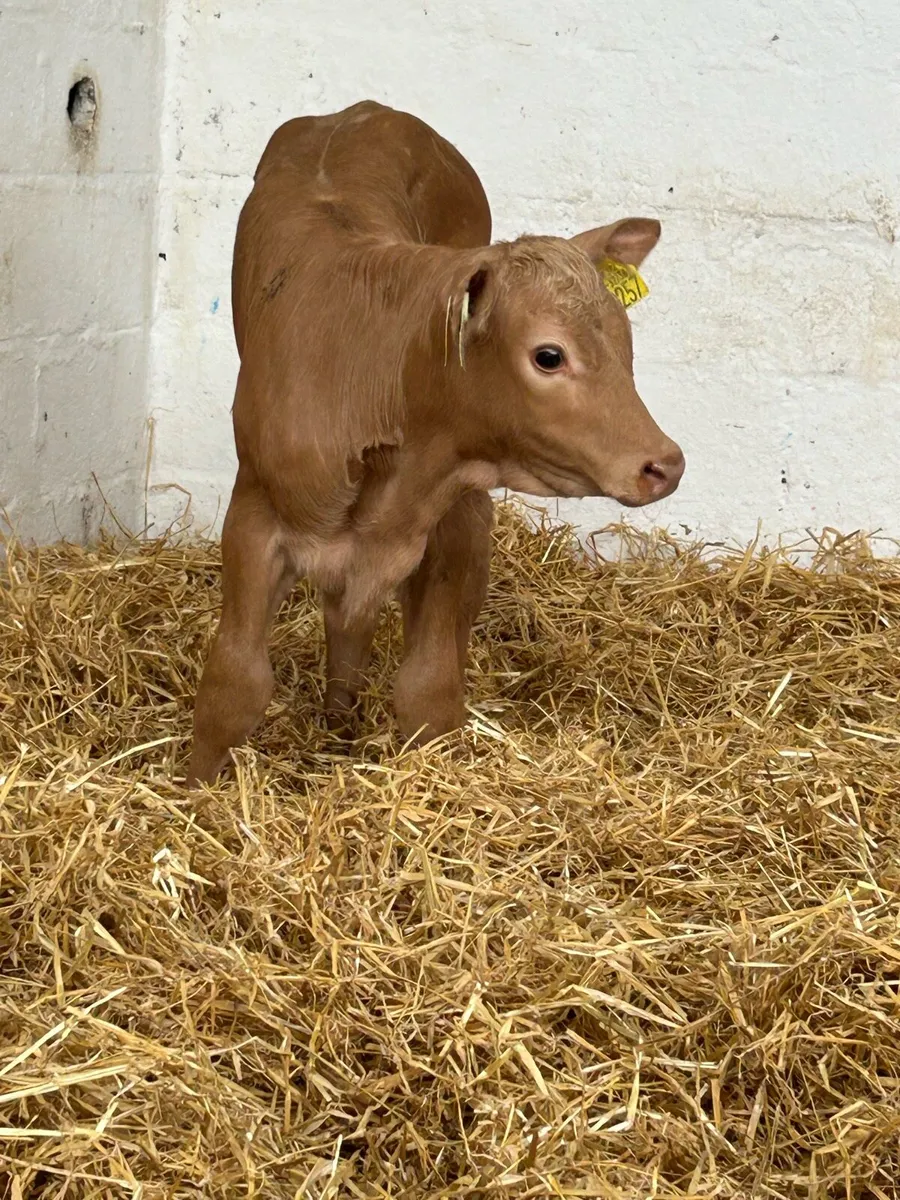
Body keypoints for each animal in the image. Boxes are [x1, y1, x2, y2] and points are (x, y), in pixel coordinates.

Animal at [186, 100, 684, 786]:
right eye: (548, 355)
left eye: (626, 341)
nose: (665, 464)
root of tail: (364, 110)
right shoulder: (254, 516)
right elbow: (235, 682)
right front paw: (190, 789)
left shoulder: (455, 519)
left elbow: (428, 687)